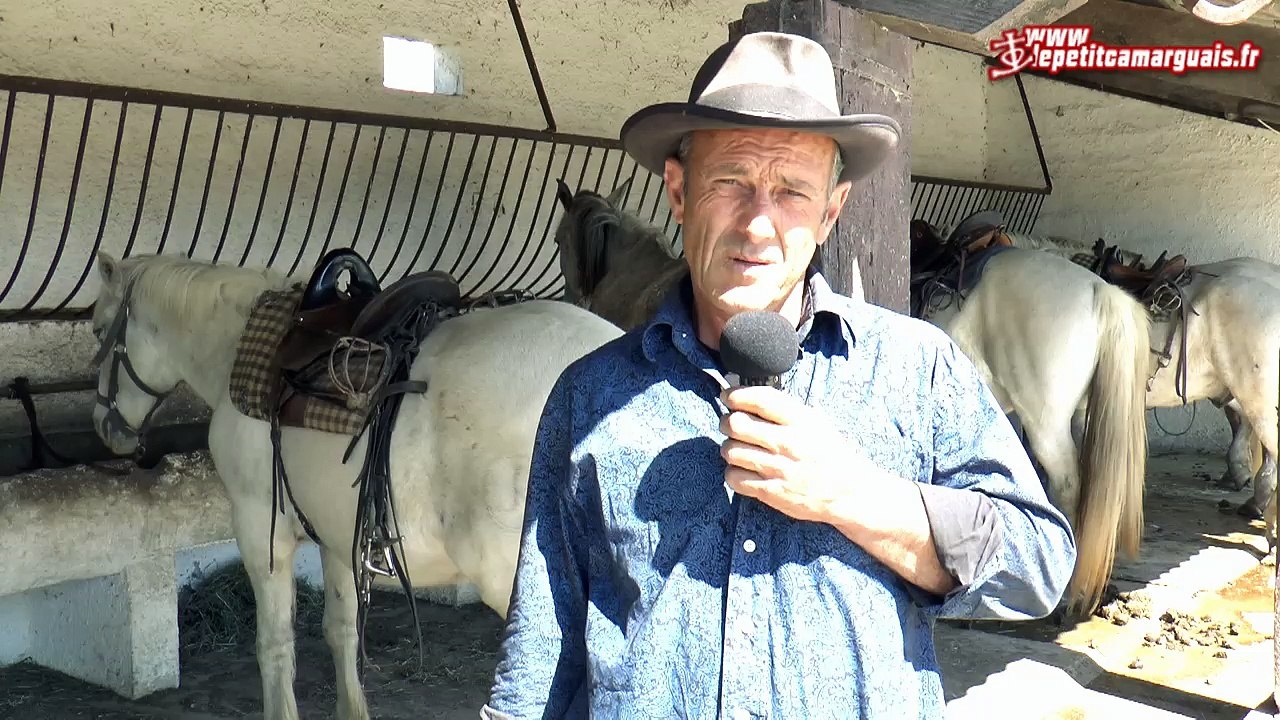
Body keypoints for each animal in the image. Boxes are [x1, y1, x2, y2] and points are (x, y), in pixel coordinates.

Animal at [88, 250, 623, 720]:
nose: (106, 428)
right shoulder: (337, 533)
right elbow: (341, 630)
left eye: (96, 329)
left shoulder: (260, 529)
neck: (240, 352)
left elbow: (274, 643)